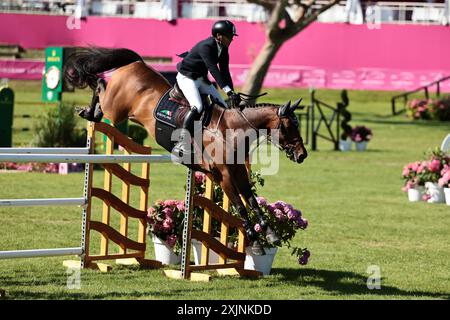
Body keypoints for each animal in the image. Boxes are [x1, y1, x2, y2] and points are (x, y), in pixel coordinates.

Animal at [64, 47, 310, 255]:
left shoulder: (239, 172)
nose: (302, 155)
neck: (230, 131)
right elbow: (240, 207)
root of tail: (137, 63)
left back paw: (91, 112)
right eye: (289, 126)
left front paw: (271, 234)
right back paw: (88, 111)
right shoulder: (225, 177)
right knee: (99, 85)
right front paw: (256, 242)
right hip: (115, 110)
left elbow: (253, 202)